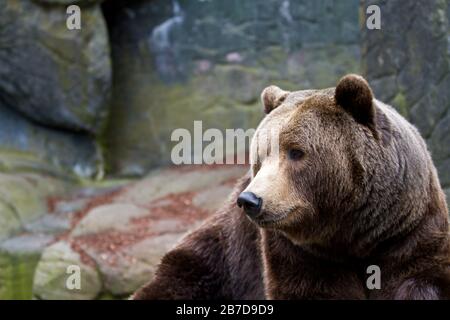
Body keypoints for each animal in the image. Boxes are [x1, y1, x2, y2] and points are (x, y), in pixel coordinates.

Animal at [132, 74, 450, 298]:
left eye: (296, 152)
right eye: (260, 156)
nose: (251, 200)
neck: (352, 235)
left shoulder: (410, 232)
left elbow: (421, 279)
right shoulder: (294, 253)